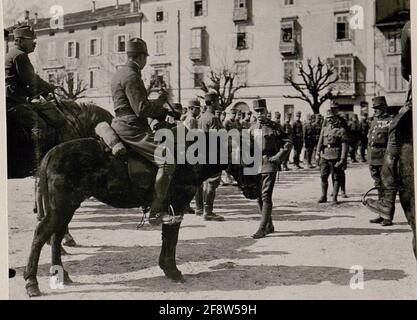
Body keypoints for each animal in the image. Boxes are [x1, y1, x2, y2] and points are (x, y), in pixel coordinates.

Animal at [22, 134, 262, 296]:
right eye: (248, 159)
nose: (256, 191)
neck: (190, 158)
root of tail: (52, 153)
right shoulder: (177, 206)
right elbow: (172, 239)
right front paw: (172, 270)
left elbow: (168, 239)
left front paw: (168, 268)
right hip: (62, 207)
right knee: (41, 235)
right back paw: (32, 282)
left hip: (67, 208)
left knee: (55, 237)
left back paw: (61, 275)